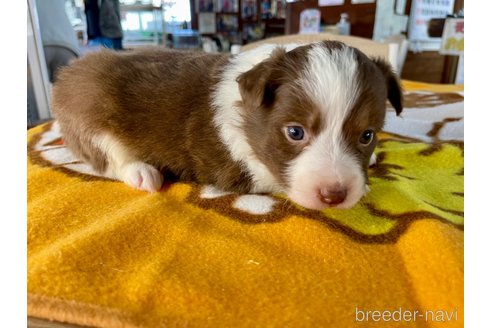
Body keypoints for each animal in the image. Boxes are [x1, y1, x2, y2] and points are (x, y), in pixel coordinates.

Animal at [52, 41, 402, 210]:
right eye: (295, 132)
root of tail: (68, 73)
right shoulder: (234, 168)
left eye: (367, 135)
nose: (334, 195)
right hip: (91, 112)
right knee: (107, 159)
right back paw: (142, 172)